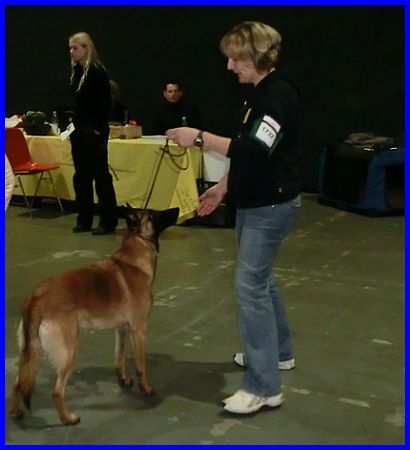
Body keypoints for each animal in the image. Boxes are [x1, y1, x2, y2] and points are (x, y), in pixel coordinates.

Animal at [9, 205, 179, 426]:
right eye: (154, 214)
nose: (177, 209)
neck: (135, 257)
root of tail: (36, 296)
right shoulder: (139, 329)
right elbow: (141, 365)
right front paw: (147, 389)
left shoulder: (122, 329)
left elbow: (119, 359)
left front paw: (123, 380)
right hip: (69, 352)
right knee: (56, 391)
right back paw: (68, 419)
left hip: (31, 351)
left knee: (18, 383)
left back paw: (15, 412)